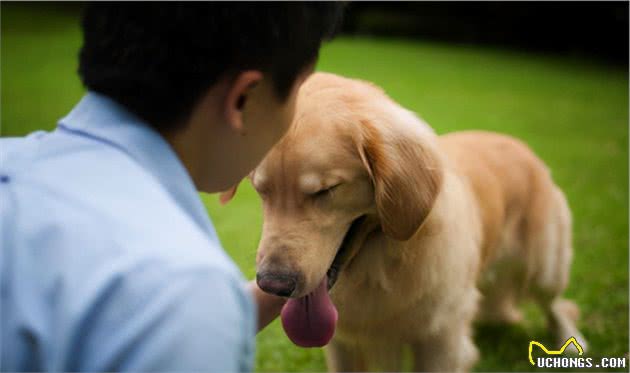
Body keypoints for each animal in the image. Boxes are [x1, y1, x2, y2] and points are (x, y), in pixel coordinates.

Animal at [246, 72, 588, 370]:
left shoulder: (441, 341)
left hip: (545, 268)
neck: (381, 266)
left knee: (557, 305)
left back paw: (571, 344)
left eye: (326, 190)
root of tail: (518, 144)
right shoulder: (343, 344)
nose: (272, 285)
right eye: (261, 189)